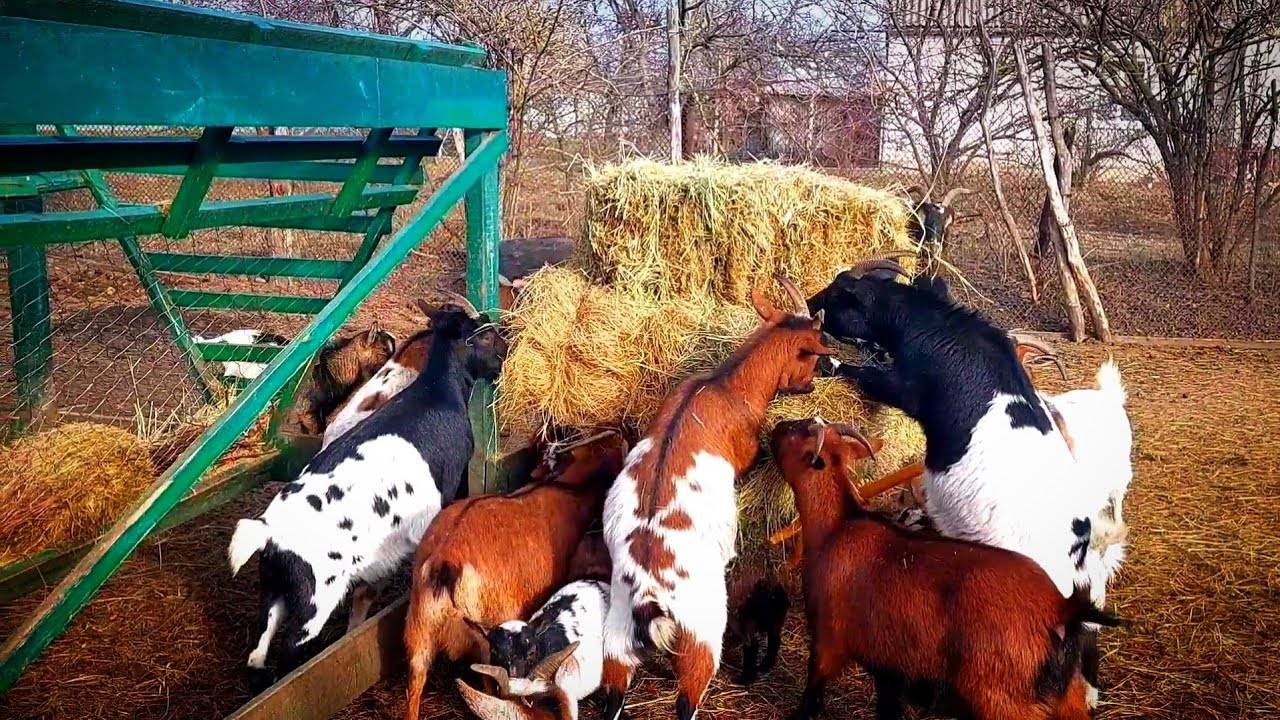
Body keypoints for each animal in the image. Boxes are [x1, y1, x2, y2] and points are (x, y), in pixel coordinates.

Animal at [227, 295, 505, 683]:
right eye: (485, 333)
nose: (506, 352)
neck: (436, 391)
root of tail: (269, 534)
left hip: (274, 588)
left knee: (260, 646)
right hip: (315, 599)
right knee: (290, 651)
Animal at [403, 431, 629, 720]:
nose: (618, 435)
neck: (564, 490)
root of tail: (444, 563)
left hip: (419, 626)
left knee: (415, 682)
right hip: (485, 633)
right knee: (494, 687)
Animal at [600, 276, 833, 720]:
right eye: (815, 350)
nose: (822, 376)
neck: (726, 386)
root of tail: (650, 594)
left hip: (616, 632)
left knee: (613, 694)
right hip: (702, 633)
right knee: (687, 698)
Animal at [772, 418, 1119, 720]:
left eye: (796, 434)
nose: (776, 427)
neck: (836, 527)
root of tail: (1061, 609)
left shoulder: (827, 642)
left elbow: (811, 696)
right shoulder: (887, 666)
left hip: (1002, 700)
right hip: (1066, 695)